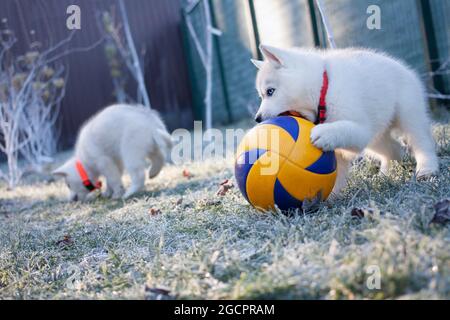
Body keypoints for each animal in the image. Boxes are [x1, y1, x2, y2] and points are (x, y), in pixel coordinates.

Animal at [251, 44, 438, 194]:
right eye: (261, 95)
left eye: (270, 92)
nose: (257, 119)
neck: (322, 92)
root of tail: (404, 69)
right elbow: (335, 174)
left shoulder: (360, 129)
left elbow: (343, 129)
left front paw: (324, 133)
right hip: (376, 137)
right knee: (394, 150)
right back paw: (386, 175)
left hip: (408, 114)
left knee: (421, 142)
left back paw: (427, 169)